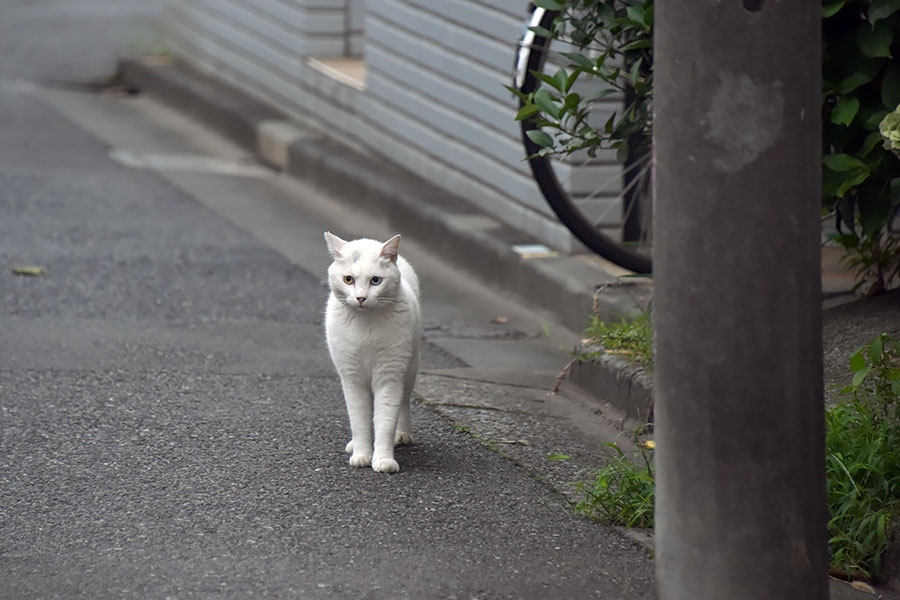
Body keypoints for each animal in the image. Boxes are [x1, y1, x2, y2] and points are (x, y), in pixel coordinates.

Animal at [324, 232, 422, 472]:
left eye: (375, 280)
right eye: (348, 279)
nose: (360, 298)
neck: (365, 322)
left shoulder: (390, 376)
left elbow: (385, 422)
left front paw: (383, 460)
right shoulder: (352, 379)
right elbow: (359, 421)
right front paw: (361, 455)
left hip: (409, 371)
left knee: (403, 404)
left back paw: (402, 435)